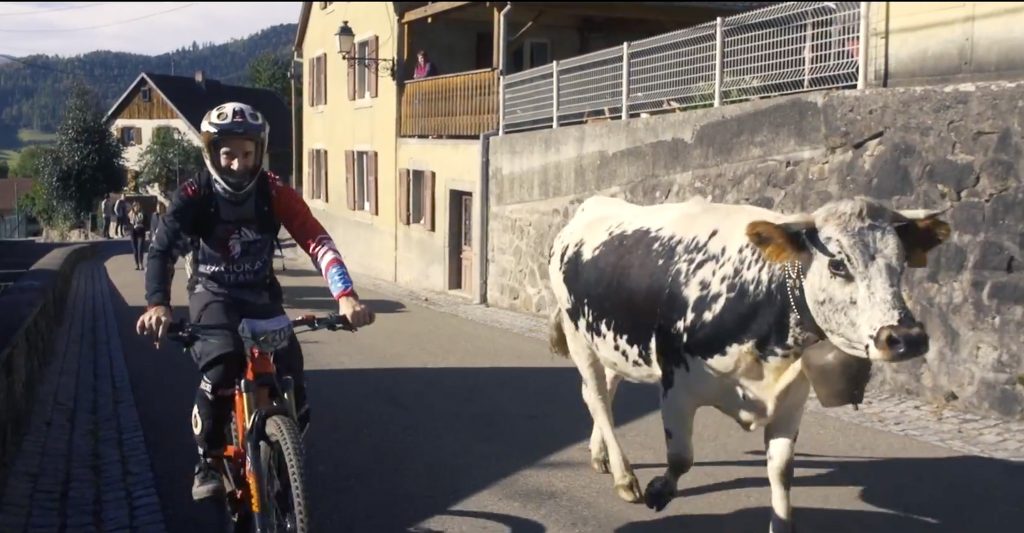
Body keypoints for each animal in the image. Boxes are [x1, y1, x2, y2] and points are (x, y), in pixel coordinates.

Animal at [548, 195, 946, 531]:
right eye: (837, 263)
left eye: (901, 263)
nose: (907, 337)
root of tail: (593, 203)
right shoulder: (677, 386)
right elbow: (681, 457)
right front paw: (659, 490)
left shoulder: (791, 399)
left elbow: (782, 473)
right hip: (577, 335)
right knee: (596, 396)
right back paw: (624, 476)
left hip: (611, 340)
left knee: (606, 390)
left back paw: (601, 455)